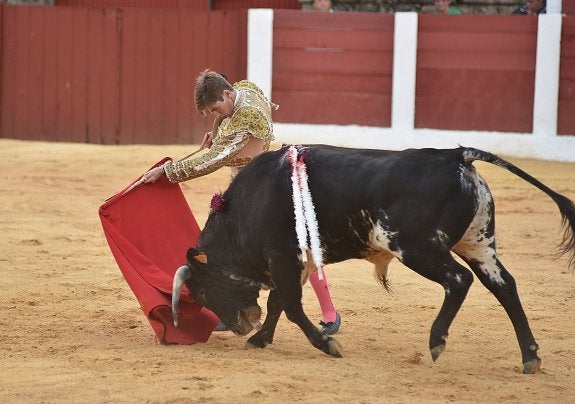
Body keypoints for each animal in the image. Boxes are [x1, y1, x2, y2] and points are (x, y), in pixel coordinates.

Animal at [171, 144, 575, 374]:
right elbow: (277, 303)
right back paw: (530, 356)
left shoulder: (282, 257)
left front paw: (327, 345)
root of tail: (456, 155)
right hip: (478, 244)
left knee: (458, 280)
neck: (246, 207)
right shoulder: (295, 260)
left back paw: (436, 341)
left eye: (203, 292)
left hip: (415, 245)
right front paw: (261, 340)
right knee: (505, 286)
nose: (238, 325)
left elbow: (291, 307)